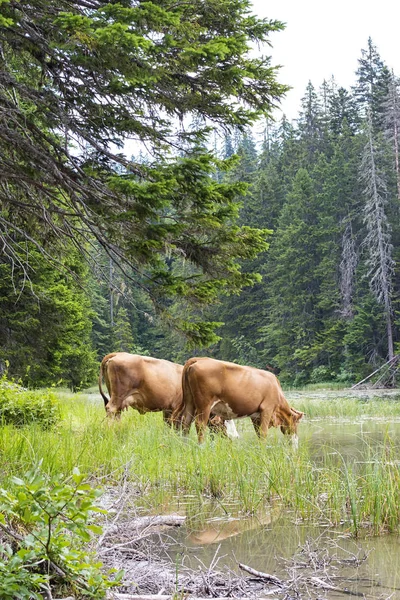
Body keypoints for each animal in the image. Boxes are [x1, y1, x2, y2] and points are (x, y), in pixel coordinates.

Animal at [98, 352, 239, 436]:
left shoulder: (167, 409)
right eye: (225, 421)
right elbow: (177, 427)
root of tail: (117, 354)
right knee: (111, 410)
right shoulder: (177, 409)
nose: (235, 437)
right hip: (118, 396)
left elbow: (167, 425)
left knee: (116, 414)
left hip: (117, 398)